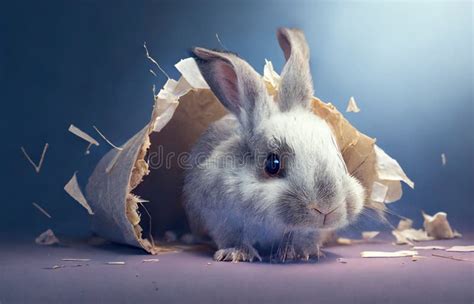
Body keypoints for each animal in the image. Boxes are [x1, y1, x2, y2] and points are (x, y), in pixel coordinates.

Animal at [183, 27, 364, 262]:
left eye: (340, 159)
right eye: (272, 164)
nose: (326, 209)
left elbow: (302, 237)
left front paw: (300, 252)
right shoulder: (221, 219)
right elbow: (233, 237)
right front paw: (236, 254)